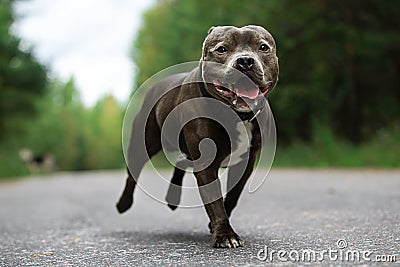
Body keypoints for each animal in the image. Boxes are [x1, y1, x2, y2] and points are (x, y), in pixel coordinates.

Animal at [116, 25, 278, 249]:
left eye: (263, 47)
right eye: (221, 49)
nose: (245, 61)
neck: (236, 114)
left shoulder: (245, 162)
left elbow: (232, 196)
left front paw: (216, 226)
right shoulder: (206, 163)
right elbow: (214, 200)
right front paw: (225, 234)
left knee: (181, 162)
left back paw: (172, 198)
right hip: (144, 143)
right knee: (133, 173)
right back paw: (123, 204)